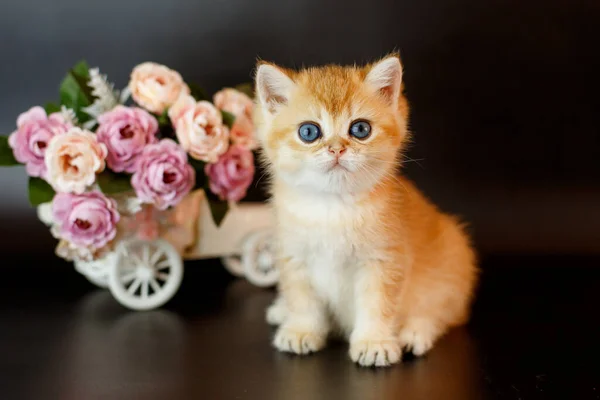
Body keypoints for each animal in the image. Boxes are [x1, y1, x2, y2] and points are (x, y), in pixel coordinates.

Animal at [253, 54, 478, 368]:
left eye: (360, 129)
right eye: (309, 132)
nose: (337, 149)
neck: (332, 208)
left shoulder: (384, 260)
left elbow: (378, 304)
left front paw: (375, 342)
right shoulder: (293, 255)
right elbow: (302, 298)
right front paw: (301, 329)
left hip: (453, 264)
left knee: (440, 312)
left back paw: (415, 333)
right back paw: (281, 309)